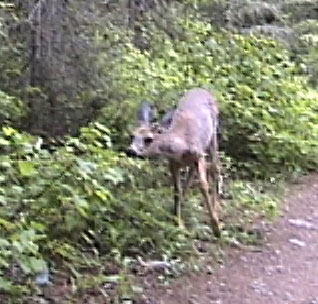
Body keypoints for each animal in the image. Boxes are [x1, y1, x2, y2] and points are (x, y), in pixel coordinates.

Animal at [127, 88, 221, 238]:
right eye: (132, 135)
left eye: (148, 139)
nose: (131, 151)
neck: (180, 146)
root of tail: (204, 89)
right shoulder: (173, 163)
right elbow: (177, 189)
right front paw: (178, 224)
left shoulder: (199, 155)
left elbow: (203, 185)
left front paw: (216, 227)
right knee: (191, 174)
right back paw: (185, 203)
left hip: (213, 134)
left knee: (215, 168)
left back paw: (216, 209)